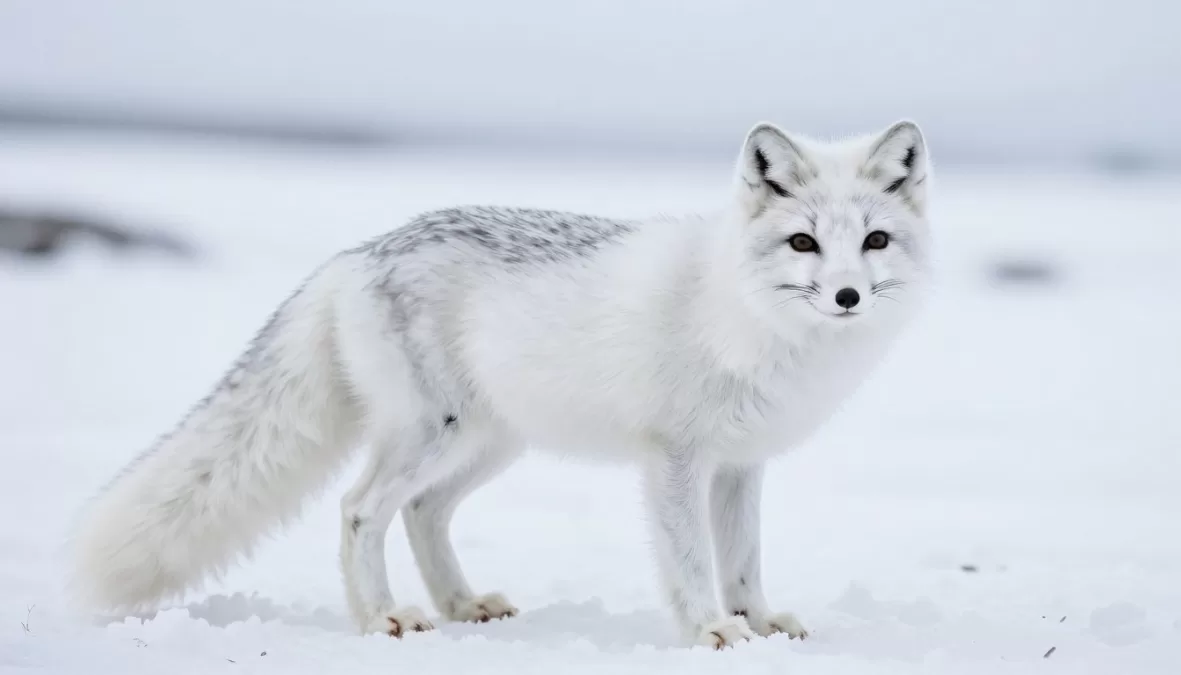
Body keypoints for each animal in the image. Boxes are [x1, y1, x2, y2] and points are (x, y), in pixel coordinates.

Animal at [69, 120, 932, 649]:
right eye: (802, 243)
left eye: (874, 240)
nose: (846, 296)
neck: (751, 319)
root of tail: (359, 252)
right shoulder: (675, 459)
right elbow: (692, 562)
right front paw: (710, 631)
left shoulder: (741, 464)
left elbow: (744, 559)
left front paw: (756, 622)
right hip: (434, 434)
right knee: (360, 508)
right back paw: (382, 615)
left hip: (490, 444)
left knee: (421, 512)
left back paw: (460, 604)